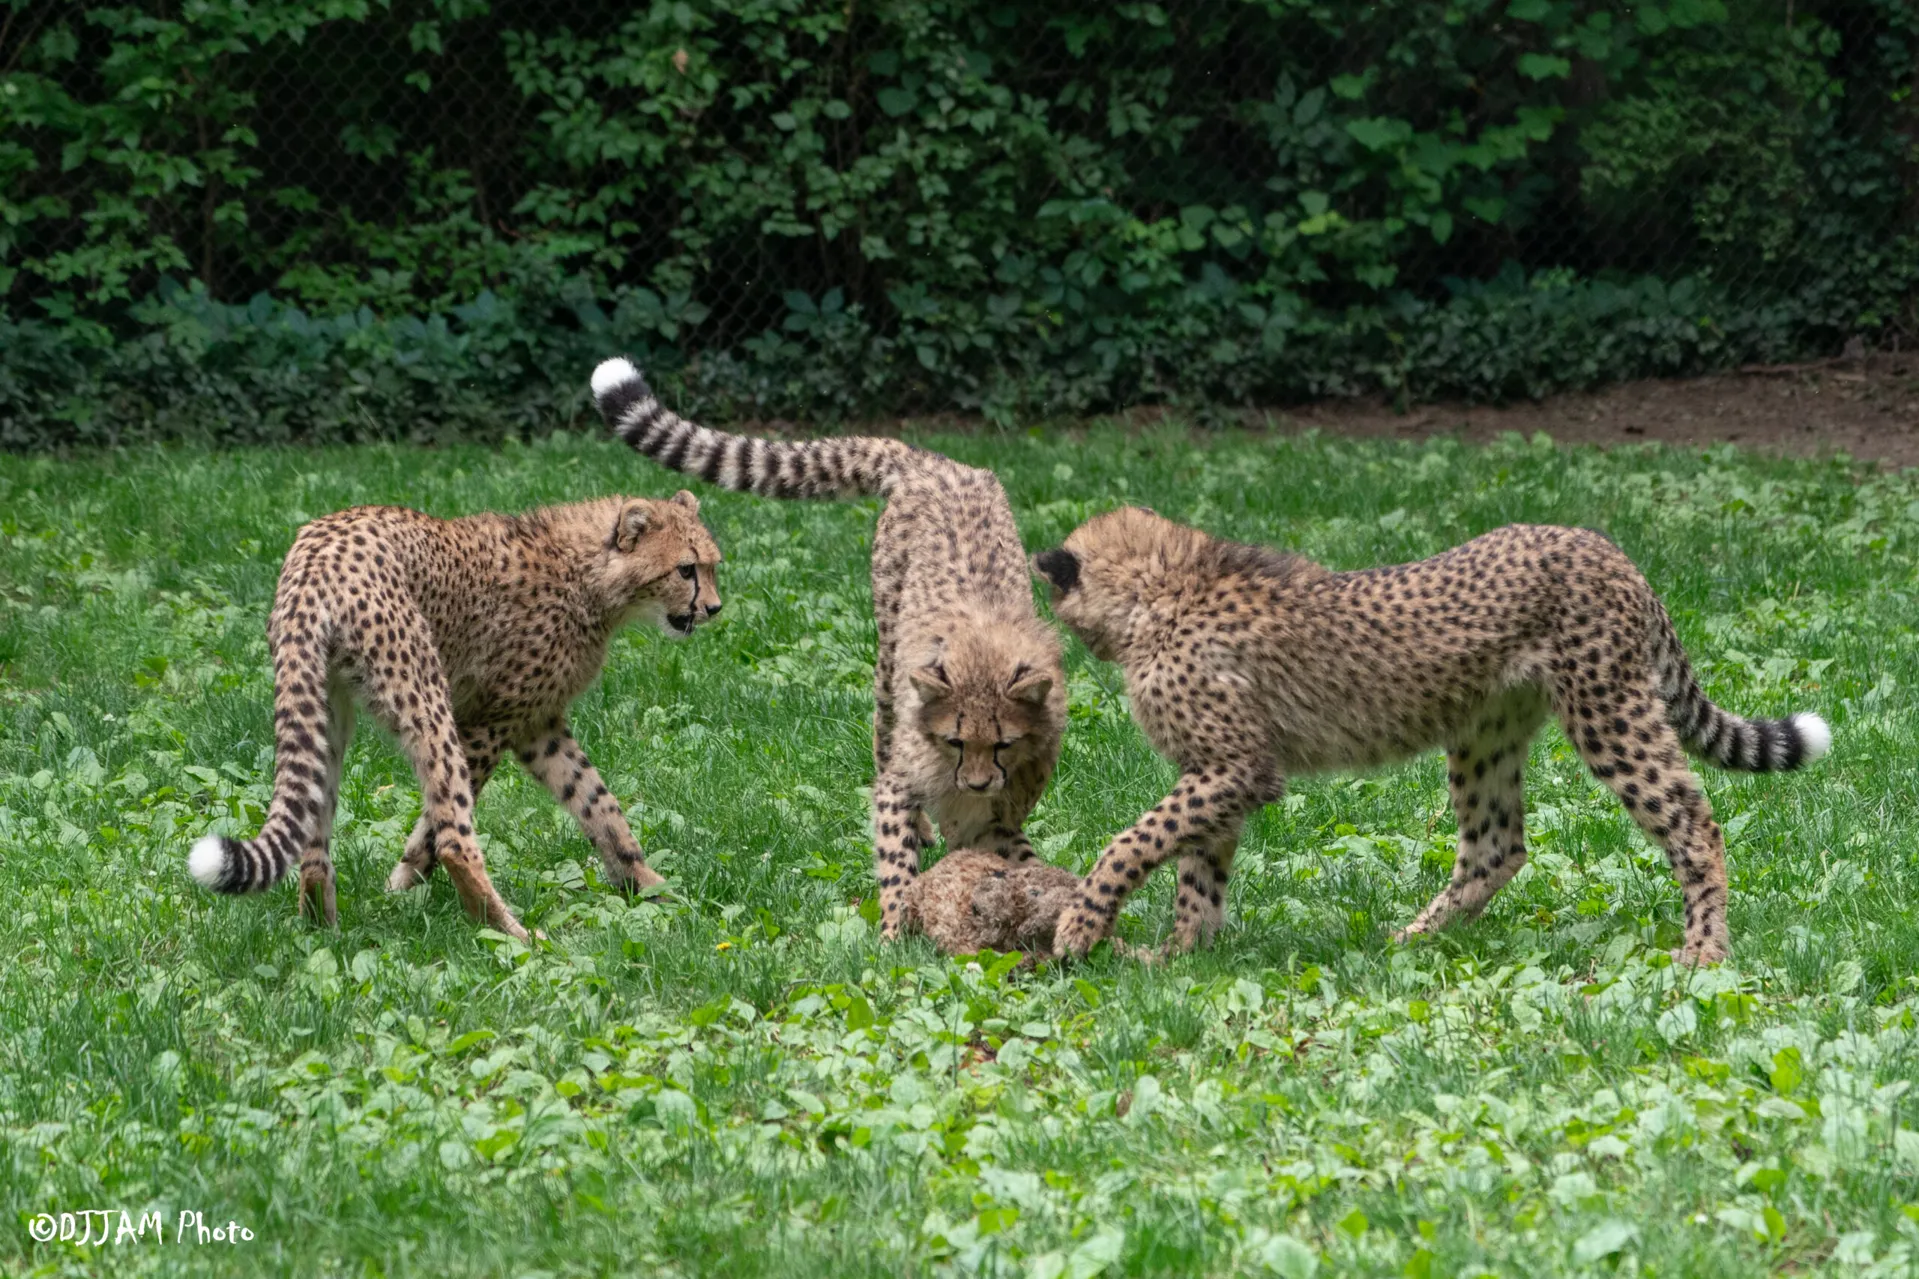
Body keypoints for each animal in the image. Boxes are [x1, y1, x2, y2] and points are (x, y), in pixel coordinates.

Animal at [188, 491, 723, 941]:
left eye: (713, 567)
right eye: (685, 569)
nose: (715, 609)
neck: (590, 573)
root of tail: (315, 555)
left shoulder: (538, 724)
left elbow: (599, 804)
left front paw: (650, 885)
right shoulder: (492, 722)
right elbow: (433, 827)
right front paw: (402, 885)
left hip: (325, 709)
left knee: (313, 837)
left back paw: (324, 935)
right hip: (426, 692)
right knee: (454, 836)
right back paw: (514, 933)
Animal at [590, 357, 1065, 938]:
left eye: (1003, 743)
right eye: (955, 741)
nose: (975, 784)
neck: (983, 654)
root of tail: (937, 462)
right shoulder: (906, 782)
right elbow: (897, 862)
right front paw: (894, 936)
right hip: (886, 661)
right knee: (882, 738)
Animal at [1031, 508, 1831, 967]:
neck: (1160, 590)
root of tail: (1598, 543)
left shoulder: (1235, 767)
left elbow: (1134, 839)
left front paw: (1080, 925)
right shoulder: (1216, 770)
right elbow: (1196, 868)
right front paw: (1177, 953)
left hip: (1608, 712)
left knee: (1694, 823)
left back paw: (1703, 952)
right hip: (1485, 733)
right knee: (1499, 845)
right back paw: (1413, 940)